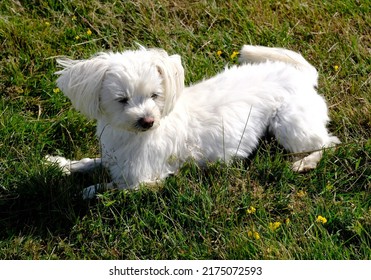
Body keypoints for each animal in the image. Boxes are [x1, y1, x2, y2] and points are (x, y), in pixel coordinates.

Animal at [48, 44, 342, 198]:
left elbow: (106, 190)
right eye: (122, 99)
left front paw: (85, 190)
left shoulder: (145, 180)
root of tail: (302, 75)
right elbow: (91, 162)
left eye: (155, 96)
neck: (127, 137)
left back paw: (305, 163)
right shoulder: (113, 157)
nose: (148, 121)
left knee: (328, 142)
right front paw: (62, 164)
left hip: (289, 125)